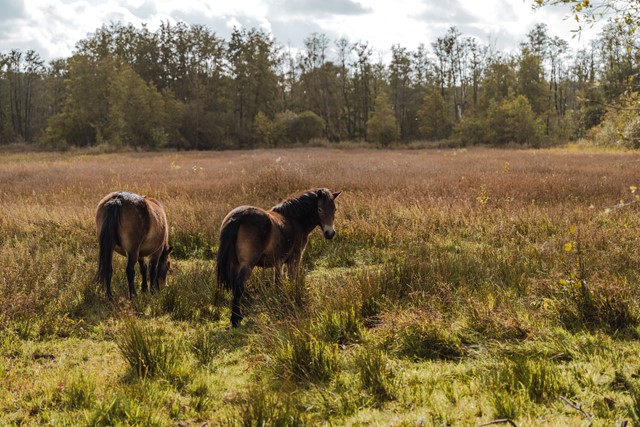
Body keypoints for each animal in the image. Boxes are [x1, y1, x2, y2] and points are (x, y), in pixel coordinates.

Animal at [216, 188, 342, 327]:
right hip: (247, 265)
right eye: (319, 209)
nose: (330, 233)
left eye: (334, 209)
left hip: (235, 264)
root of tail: (238, 216)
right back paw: (235, 320)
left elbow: (278, 283)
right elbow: (292, 278)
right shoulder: (294, 259)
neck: (295, 220)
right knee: (239, 287)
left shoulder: (279, 263)